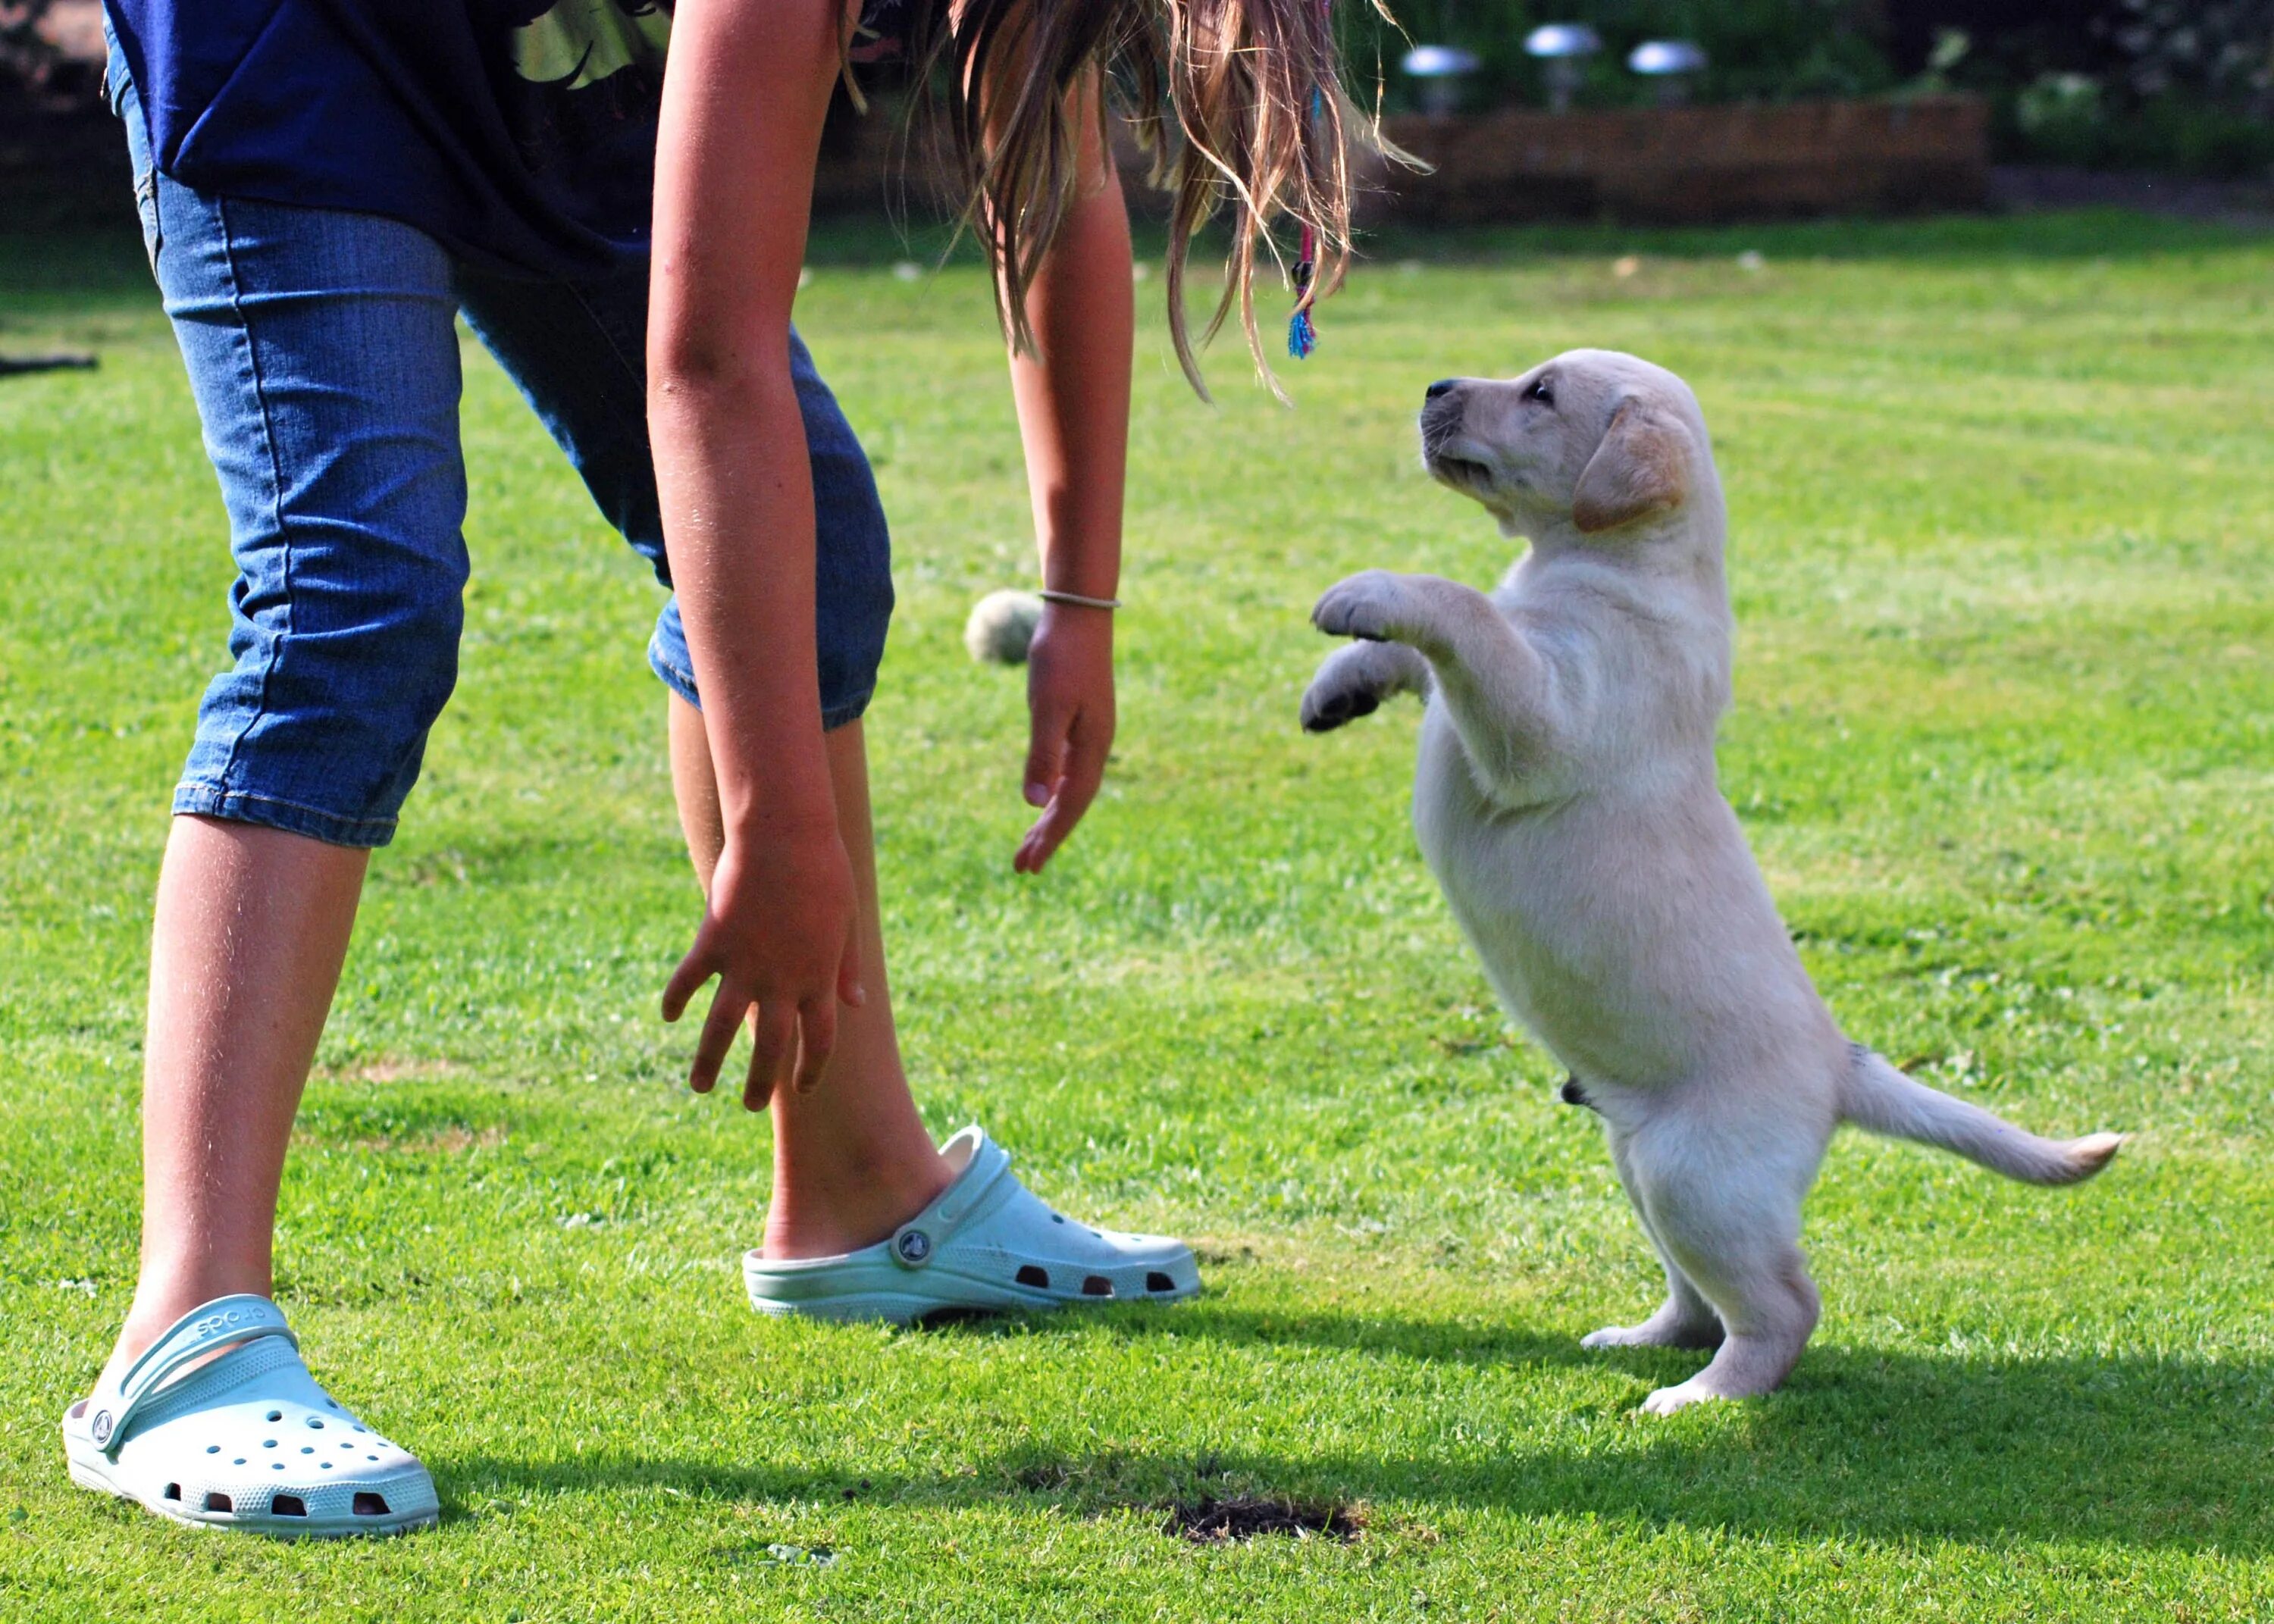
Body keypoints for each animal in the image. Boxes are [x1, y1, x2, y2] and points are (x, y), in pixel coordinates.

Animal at [1310, 350, 2119, 1400]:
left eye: (1540, 393)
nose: (1435, 388)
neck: (1605, 562)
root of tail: (1840, 1066)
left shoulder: (1546, 715)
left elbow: (1464, 612)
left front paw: (1369, 594)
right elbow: (1432, 657)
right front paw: (1340, 686)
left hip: (1695, 1179)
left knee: (1784, 1305)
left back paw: (1702, 1397)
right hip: (1639, 1159)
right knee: (1701, 1297)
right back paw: (1647, 1338)